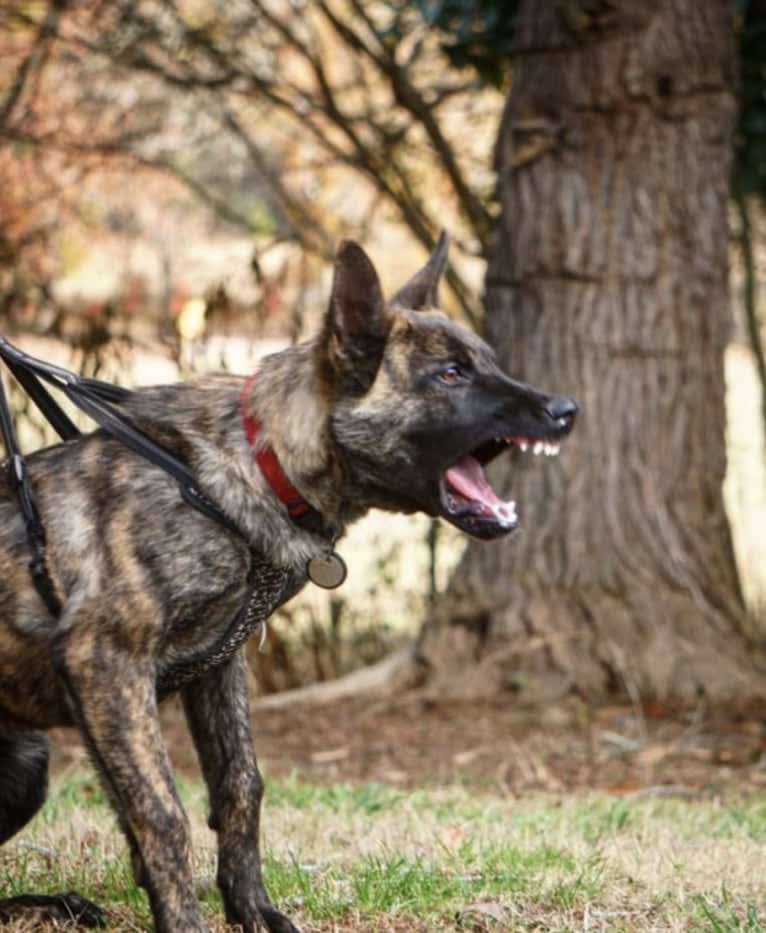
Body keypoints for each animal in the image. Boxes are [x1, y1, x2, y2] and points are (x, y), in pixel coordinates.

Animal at [0, 235, 576, 932]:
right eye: (450, 375)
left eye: (486, 362)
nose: (566, 410)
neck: (249, 466)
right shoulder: (105, 665)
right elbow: (162, 814)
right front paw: (184, 920)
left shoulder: (216, 669)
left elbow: (240, 786)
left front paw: (250, 908)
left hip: (28, 762)